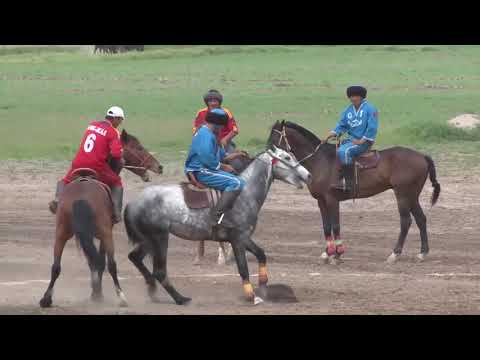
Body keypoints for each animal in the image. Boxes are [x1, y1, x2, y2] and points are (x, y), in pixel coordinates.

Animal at [39, 128, 163, 308]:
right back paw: (121, 297)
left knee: (56, 266)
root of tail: (82, 194)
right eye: (139, 147)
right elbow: (101, 262)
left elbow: (92, 262)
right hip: (106, 234)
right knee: (111, 264)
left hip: (61, 232)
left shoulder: (87, 236)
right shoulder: (104, 234)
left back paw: (46, 299)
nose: (159, 166)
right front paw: (97, 293)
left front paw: (95, 292)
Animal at [124, 145, 312, 306]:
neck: (244, 194)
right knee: (159, 271)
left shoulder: (244, 238)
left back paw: (152, 288)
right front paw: (252, 296)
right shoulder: (237, 239)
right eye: (287, 157)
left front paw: (264, 285)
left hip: (148, 241)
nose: (308, 174)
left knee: (135, 258)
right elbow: (243, 268)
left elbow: (261, 254)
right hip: (159, 238)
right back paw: (180, 298)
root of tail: (133, 203)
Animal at [268, 119, 440, 262]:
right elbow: (326, 226)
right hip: (412, 196)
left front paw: (338, 253)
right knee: (421, 219)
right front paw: (328, 252)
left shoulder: (332, 200)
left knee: (406, 221)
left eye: (274, 139)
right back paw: (422, 252)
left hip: (403, 195)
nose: (267, 155)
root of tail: (422, 156)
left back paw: (395, 253)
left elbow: (335, 225)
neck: (320, 160)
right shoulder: (321, 201)